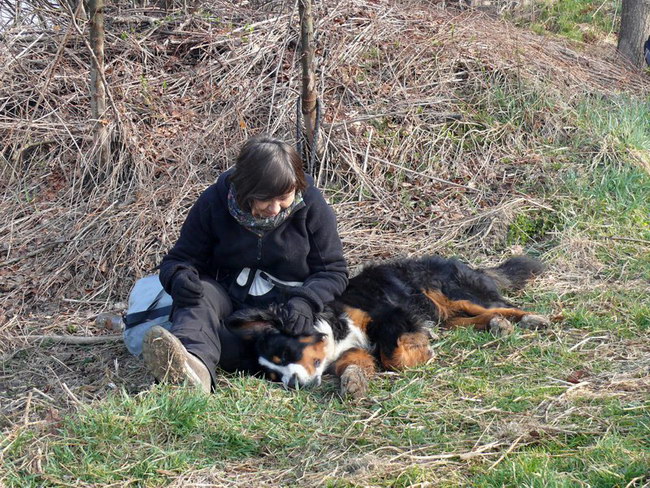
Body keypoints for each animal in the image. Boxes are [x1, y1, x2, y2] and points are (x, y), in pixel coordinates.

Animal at [227, 255, 549, 398]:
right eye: (273, 375)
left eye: (285, 353)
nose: (291, 384)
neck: (337, 331)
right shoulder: (353, 352)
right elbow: (355, 364)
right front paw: (353, 383)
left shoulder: (390, 313)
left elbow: (391, 355)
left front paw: (420, 352)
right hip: (447, 312)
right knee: (471, 318)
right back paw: (498, 325)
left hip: (452, 293)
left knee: (499, 304)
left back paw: (531, 319)